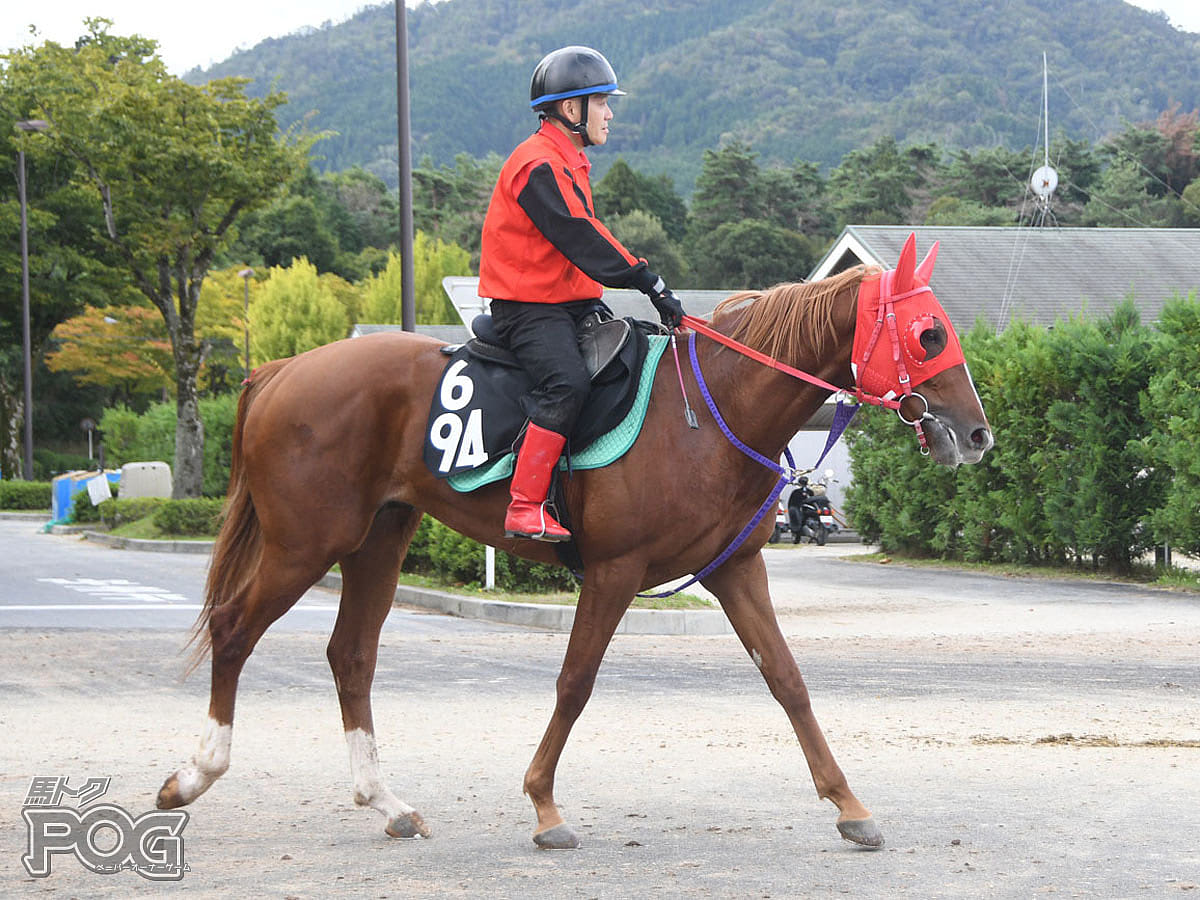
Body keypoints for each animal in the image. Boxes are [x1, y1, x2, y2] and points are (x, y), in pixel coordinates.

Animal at [154, 232, 988, 854]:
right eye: (929, 334)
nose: (979, 434)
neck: (708, 409)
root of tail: (280, 369)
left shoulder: (737, 570)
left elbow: (787, 680)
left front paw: (849, 804)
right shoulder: (614, 573)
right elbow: (575, 683)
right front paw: (544, 804)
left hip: (376, 540)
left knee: (350, 656)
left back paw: (384, 800)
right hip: (305, 542)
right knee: (234, 629)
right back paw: (192, 775)